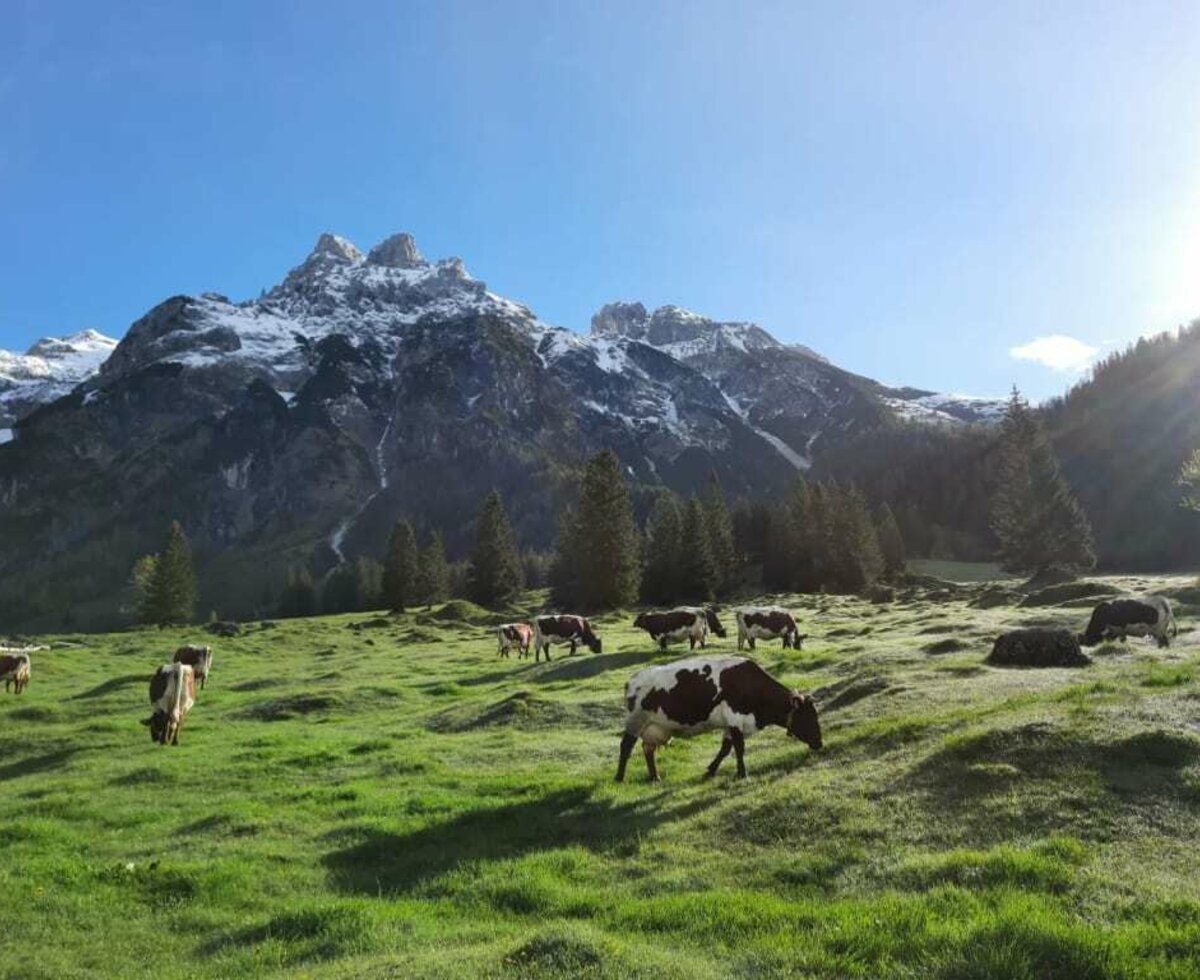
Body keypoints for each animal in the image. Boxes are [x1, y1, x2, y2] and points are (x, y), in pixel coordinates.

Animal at [614, 652, 820, 782]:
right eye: (808, 718)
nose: (819, 743)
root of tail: (632, 679)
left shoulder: (730, 724)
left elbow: (725, 749)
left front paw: (710, 770)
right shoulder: (735, 718)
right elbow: (739, 748)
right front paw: (742, 774)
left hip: (654, 727)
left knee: (648, 749)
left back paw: (655, 777)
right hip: (635, 720)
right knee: (626, 747)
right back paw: (619, 777)